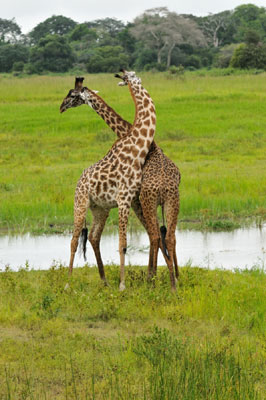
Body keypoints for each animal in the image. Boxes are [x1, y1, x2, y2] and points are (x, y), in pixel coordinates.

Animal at [60, 76, 181, 292]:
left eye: (73, 95)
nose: (61, 106)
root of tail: (80, 180)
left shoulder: (129, 201)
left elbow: (126, 242)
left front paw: (126, 283)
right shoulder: (131, 201)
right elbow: (136, 240)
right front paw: (147, 278)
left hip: (106, 207)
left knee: (92, 237)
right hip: (87, 204)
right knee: (79, 239)